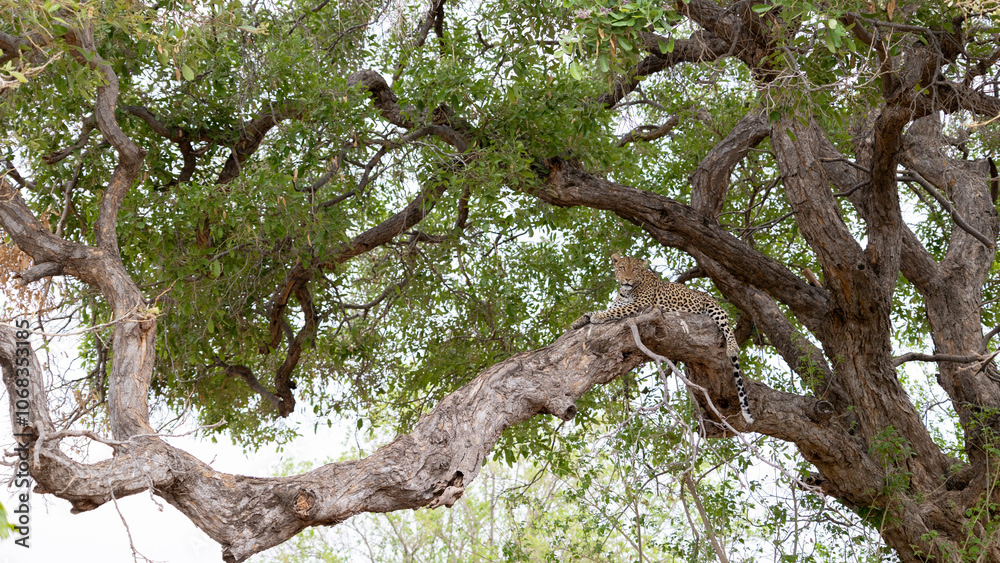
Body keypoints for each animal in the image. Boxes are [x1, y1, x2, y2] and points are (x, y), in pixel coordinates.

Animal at [573, 253, 754, 424]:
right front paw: (578, 321)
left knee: (727, 327)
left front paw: (598, 316)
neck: (627, 291)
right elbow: (596, 311)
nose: (627, 279)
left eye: (635, 270)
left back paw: (732, 347)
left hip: (714, 308)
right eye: (622, 267)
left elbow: (613, 311)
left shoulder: (639, 305)